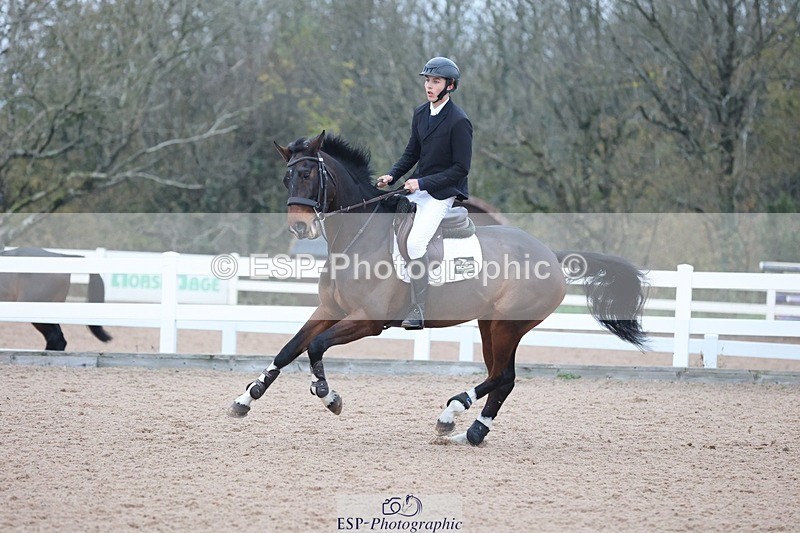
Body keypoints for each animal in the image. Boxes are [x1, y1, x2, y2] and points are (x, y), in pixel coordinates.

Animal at [228, 131, 648, 446]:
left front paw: (328, 396)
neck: (358, 238)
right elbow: (288, 350)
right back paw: (472, 433)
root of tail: (552, 256)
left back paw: (452, 414)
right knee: (503, 378)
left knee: (503, 376)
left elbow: (315, 347)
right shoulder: (329, 311)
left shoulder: (367, 321)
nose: (300, 228)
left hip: (507, 325)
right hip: (490, 325)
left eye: (309, 176)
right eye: (286, 178)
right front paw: (246, 398)